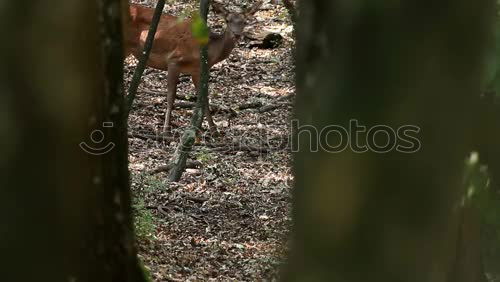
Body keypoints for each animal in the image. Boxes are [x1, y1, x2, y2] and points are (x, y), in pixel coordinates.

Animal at [123, 0, 264, 134]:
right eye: (227, 20)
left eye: (244, 22)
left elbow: (204, 98)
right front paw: (166, 131)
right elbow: (171, 97)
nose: (236, 34)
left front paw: (214, 131)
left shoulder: (198, 71)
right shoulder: (174, 60)